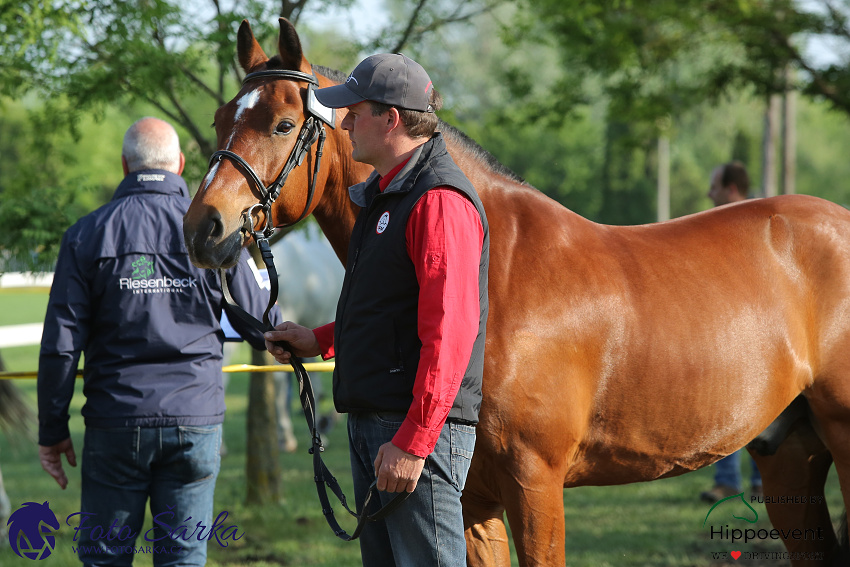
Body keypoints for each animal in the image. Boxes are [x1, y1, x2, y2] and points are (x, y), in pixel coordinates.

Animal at [184, 16, 848, 564]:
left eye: (282, 123)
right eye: (220, 119)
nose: (202, 228)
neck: (495, 269)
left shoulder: (535, 484)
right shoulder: (473, 500)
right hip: (790, 460)